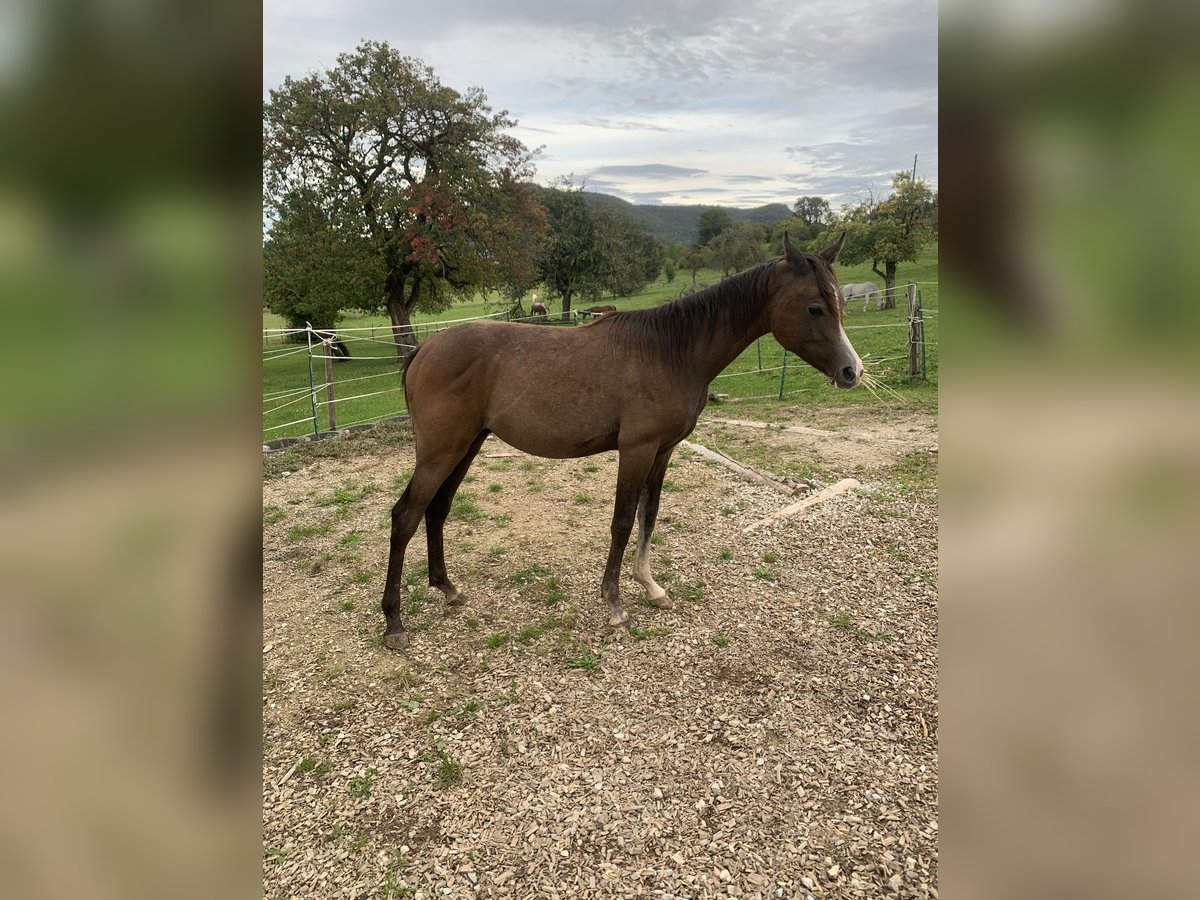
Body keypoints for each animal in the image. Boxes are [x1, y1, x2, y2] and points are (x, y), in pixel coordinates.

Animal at [379, 236, 859, 652]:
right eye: (815, 307)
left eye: (841, 303)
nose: (852, 371)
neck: (670, 350)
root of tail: (424, 349)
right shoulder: (637, 450)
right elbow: (623, 523)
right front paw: (614, 606)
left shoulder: (663, 451)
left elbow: (649, 516)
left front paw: (651, 587)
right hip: (441, 451)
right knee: (406, 517)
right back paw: (394, 623)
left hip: (466, 446)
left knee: (437, 510)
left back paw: (448, 590)